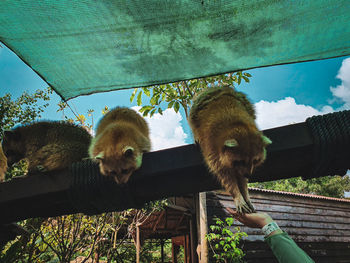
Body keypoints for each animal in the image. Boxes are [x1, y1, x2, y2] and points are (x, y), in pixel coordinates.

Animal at [189, 86, 270, 214]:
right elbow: (226, 176)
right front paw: (237, 195)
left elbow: (240, 178)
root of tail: (218, 88)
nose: (248, 174)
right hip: (197, 108)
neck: (237, 126)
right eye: (241, 161)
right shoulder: (212, 150)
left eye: (255, 161)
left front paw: (245, 193)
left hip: (244, 101)